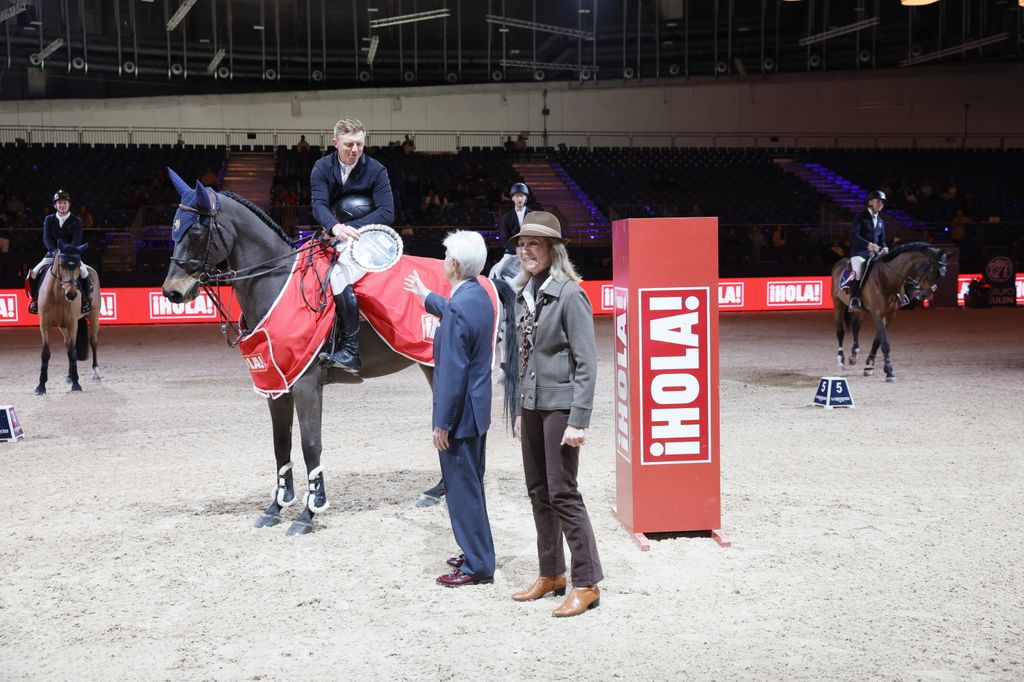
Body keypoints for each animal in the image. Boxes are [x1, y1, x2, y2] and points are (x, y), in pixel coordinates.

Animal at [34, 241, 101, 395]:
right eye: (61, 264)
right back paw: (70, 376)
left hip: (94, 316)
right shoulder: (45, 324)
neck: (58, 295)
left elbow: (72, 352)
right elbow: (46, 353)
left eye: (77, 265)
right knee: (68, 344)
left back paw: (95, 374)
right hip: (62, 326)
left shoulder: (72, 324)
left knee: (93, 342)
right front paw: (41, 386)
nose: (71, 294)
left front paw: (76, 384)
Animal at [827, 242, 946, 382]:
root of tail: (841, 262)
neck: (887, 278)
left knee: (856, 327)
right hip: (838, 304)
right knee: (840, 331)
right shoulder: (877, 313)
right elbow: (884, 342)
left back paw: (854, 355)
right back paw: (841, 359)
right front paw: (889, 371)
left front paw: (869, 366)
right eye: (931, 271)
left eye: (939, 275)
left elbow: (877, 341)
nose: (924, 295)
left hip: (862, 310)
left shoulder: (889, 314)